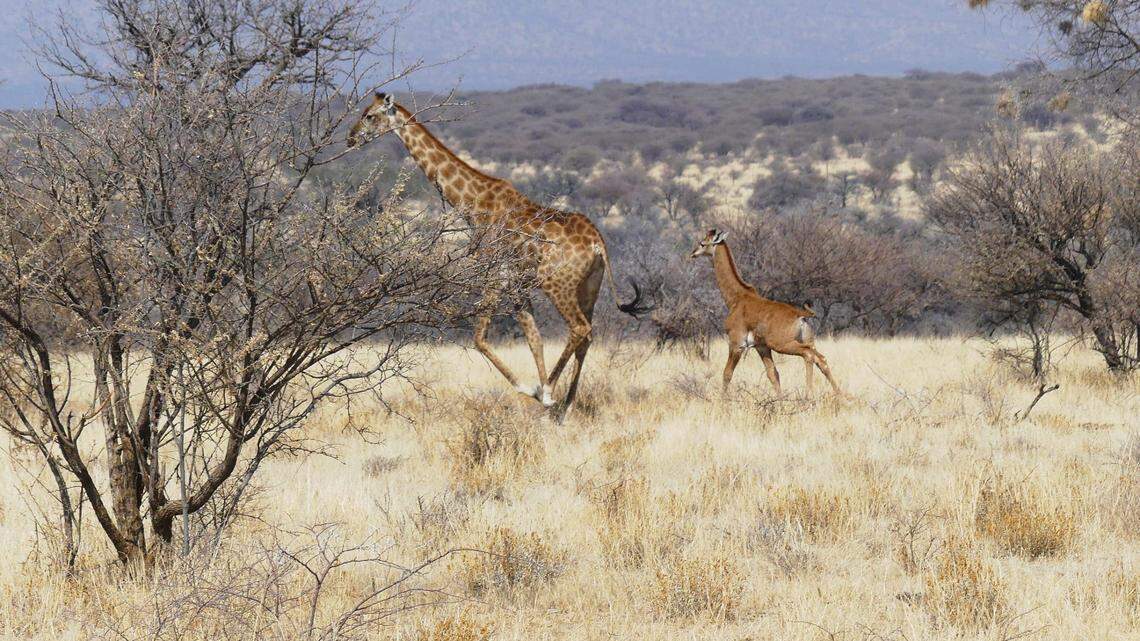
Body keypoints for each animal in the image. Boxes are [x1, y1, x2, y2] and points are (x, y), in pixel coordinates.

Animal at [348, 92, 650, 411]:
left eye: (369, 116)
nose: (351, 138)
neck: (474, 203)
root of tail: (597, 243)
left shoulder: (494, 275)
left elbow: (479, 337)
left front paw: (536, 390)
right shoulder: (517, 284)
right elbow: (534, 337)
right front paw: (542, 398)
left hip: (556, 283)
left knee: (580, 329)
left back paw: (550, 390)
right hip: (589, 286)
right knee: (587, 335)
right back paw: (565, 405)